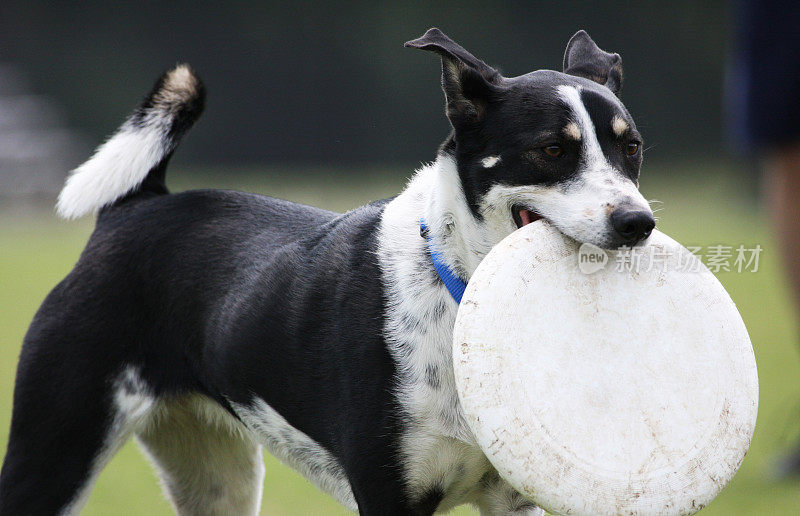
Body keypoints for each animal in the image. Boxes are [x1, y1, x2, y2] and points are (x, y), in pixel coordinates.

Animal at [0, 29, 652, 516]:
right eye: (551, 149)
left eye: (632, 149)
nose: (638, 222)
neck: (460, 307)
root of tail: (137, 205)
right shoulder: (390, 497)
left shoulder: (514, 500)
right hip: (53, 452)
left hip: (219, 478)